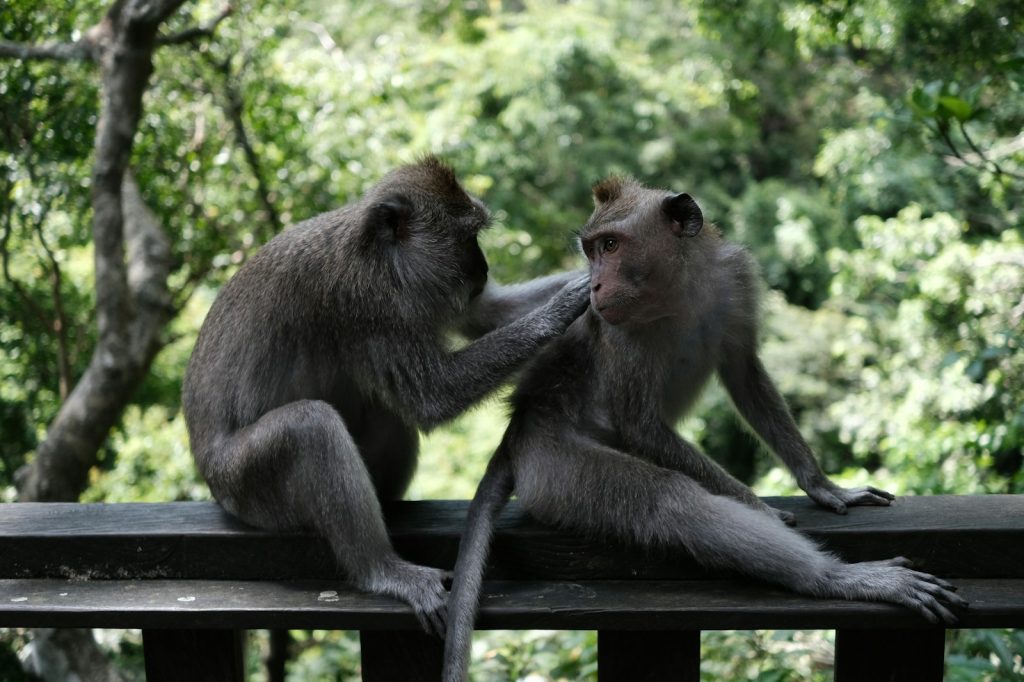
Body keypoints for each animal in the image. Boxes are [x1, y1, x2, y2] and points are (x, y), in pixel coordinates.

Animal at [181, 157, 590, 634]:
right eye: (466, 237)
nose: (483, 269)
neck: (378, 255)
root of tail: (209, 476)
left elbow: (488, 313)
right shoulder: (368, 302)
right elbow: (434, 397)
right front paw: (563, 308)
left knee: (383, 413)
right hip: (243, 486)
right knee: (310, 428)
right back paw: (381, 570)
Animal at [442, 177, 965, 681]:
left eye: (609, 245)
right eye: (591, 250)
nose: (594, 286)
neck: (678, 291)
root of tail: (520, 428)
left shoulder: (734, 279)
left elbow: (743, 371)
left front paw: (821, 484)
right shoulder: (615, 330)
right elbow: (641, 425)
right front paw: (760, 507)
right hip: (553, 469)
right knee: (670, 500)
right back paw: (837, 579)